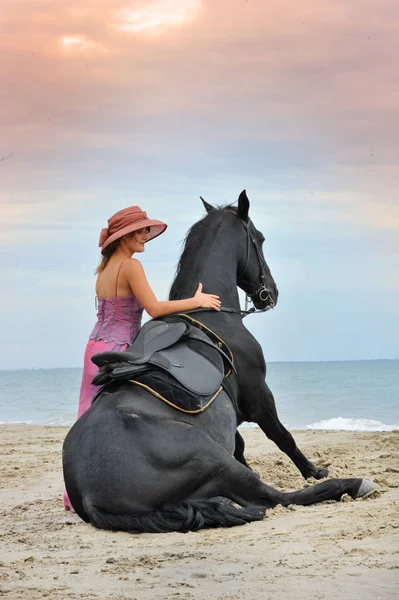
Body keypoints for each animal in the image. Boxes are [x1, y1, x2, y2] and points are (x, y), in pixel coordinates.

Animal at [62, 190, 378, 532]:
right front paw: (314, 470)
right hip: (213, 460)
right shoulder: (258, 396)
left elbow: (241, 445)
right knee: (276, 498)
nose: (272, 293)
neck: (213, 313)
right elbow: (283, 437)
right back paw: (354, 484)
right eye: (260, 239)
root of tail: (90, 497)